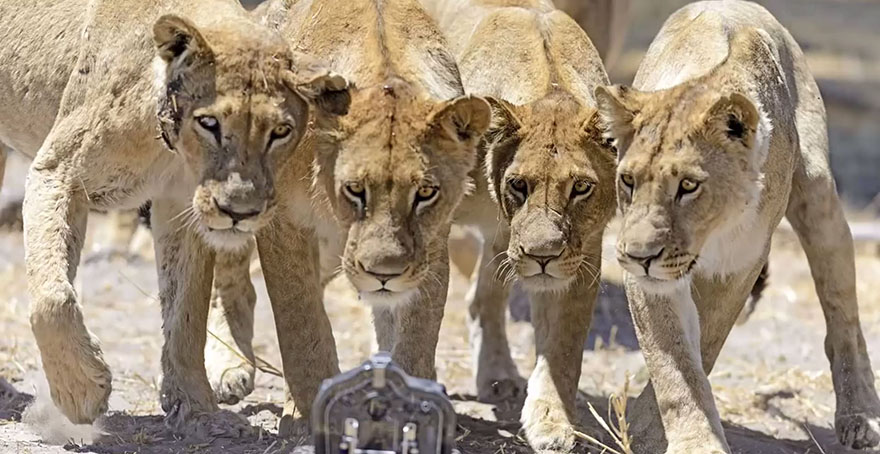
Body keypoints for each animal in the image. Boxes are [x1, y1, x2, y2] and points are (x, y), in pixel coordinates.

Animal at [0, 0, 352, 436]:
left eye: (281, 131)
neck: (166, 144)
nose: (239, 212)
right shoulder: (56, 172)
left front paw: (195, 407)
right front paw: (82, 391)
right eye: (210, 123)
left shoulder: (180, 206)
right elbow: (53, 298)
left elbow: (186, 310)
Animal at [421, 0, 617, 450]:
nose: (543, 256)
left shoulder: (583, 253)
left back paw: (497, 375)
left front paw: (551, 422)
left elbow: (563, 348)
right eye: (518, 184)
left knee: (483, 299)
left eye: (581, 187)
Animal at [594, 1, 880, 452]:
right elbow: (673, 360)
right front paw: (686, 437)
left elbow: (706, 343)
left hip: (819, 196)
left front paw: (654, 428)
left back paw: (861, 416)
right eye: (628, 180)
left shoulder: (740, 264)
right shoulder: (648, 279)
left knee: (843, 312)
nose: (640, 256)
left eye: (688, 185)